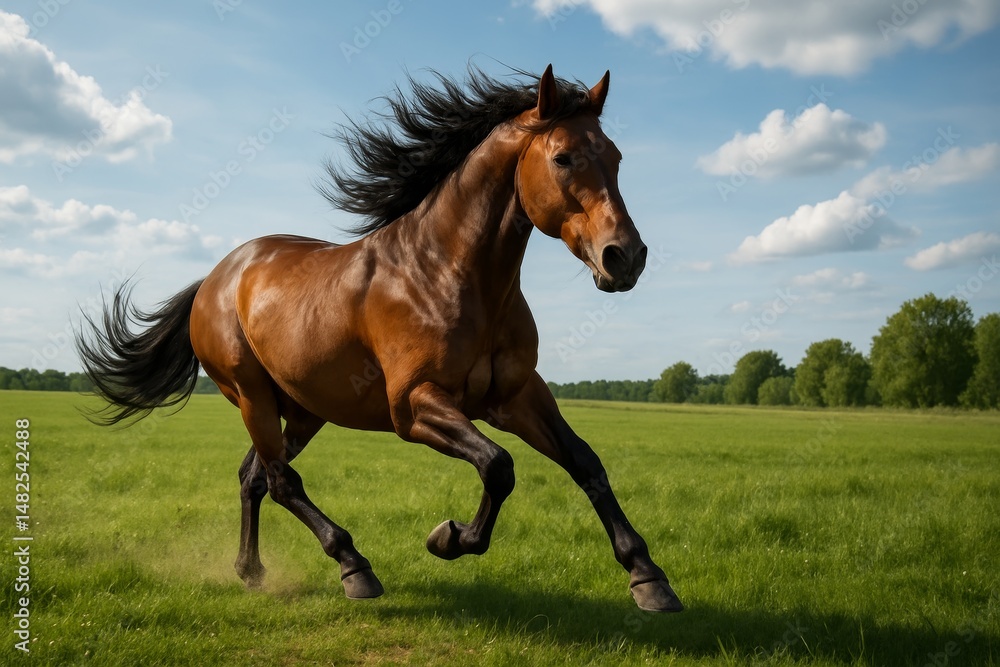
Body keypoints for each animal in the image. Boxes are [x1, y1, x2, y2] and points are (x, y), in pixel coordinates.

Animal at [76, 64, 683, 613]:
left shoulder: (516, 397)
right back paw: (354, 568)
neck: (445, 272)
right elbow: (498, 465)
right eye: (562, 158)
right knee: (281, 481)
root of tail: (217, 277)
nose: (625, 257)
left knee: (254, 477)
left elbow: (585, 462)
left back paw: (251, 571)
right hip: (252, 396)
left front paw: (649, 577)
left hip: (305, 409)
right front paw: (448, 538)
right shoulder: (413, 406)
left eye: (616, 157)